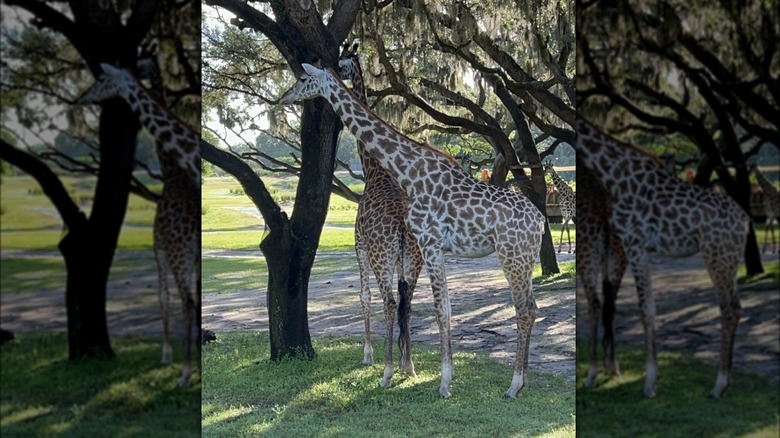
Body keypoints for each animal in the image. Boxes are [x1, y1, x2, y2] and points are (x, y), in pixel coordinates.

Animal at [78, 62, 201, 386]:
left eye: (102, 77)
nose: (83, 96)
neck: (177, 171)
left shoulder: (159, 247)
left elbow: (163, 296)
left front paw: (169, 356)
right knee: (191, 301)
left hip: (177, 255)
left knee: (186, 301)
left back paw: (185, 373)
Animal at [278, 63, 544, 398]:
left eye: (302, 78)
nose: (284, 98)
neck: (409, 174)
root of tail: (541, 220)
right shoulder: (430, 247)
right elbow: (435, 307)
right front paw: (435, 376)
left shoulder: (430, 243)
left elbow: (440, 309)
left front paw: (444, 383)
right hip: (526, 258)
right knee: (532, 308)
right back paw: (524, 381)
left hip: (511, 256)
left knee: (523, 310)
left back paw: (513, 384)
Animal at [580, 119, 748, 396]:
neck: (614, 176)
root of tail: (745, 222)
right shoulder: (639, 247)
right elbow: (648, 307)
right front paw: (652, 377)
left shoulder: (634, 243)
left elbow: (645, 309)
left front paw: (649, 382)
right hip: (730, 259)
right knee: (736, 307)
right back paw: (729, 381)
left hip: (716, 256)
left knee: (728, 310)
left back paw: (718, 385)